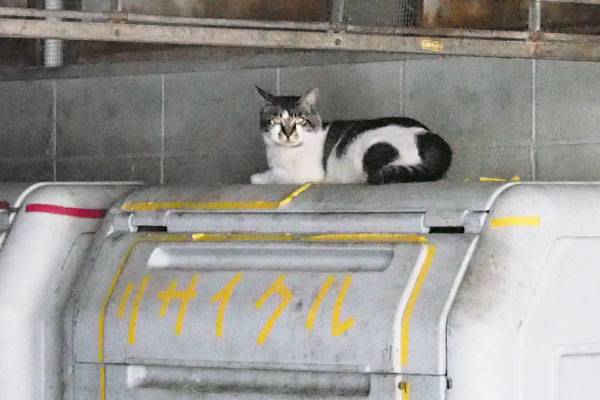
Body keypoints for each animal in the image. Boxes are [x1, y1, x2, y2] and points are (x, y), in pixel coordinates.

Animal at [251, 86, 452, 185]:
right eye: (276, 120)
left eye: (299, 120)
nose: (287, 133)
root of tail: (430, 136)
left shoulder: (307, 174)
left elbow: (274, 176)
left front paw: (258, 177)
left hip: (375, 149)